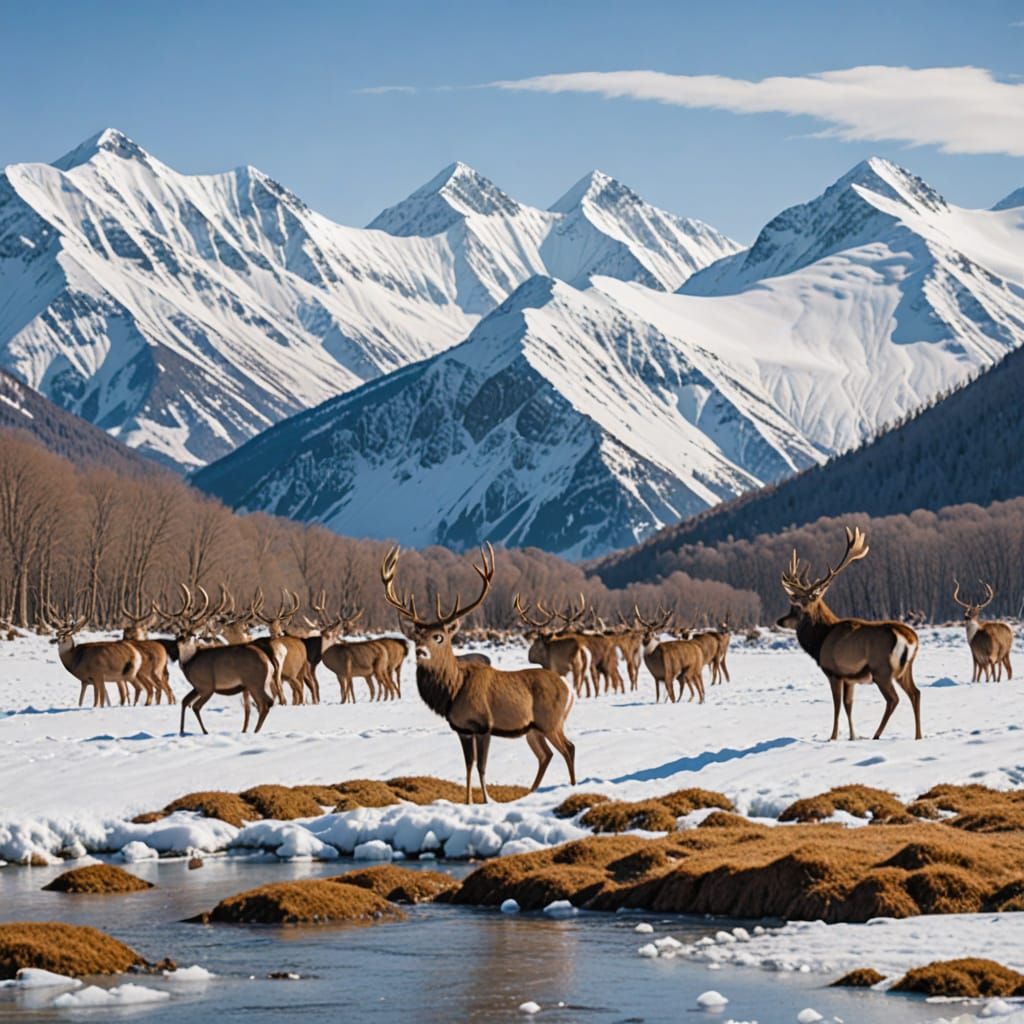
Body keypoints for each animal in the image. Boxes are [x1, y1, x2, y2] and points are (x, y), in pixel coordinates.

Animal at [156, 584, 276, 735]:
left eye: (192, 634)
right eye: (180, 631)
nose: (182, 638)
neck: (190, 660)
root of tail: (268, 662)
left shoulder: (206, 686)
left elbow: (195, 706)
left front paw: (205, 731)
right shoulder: (197, 687)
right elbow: (184, 701)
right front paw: (182, 731)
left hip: (254, 683)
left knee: (265, 704)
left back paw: (255, 731)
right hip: (257, 684)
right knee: (264, 704)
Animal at [382, 543, 576, 804]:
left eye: (439, 637)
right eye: (416, 637)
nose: (421, 651)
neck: (454, 691)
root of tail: (568, 688)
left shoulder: (485, 724)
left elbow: (482, 767)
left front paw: (485, 800)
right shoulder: (463, 730)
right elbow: (468, 766)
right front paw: (468, 801)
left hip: (551, 720)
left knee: (568, 748)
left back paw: (572, 788)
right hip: (534, 728)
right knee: (546, 755)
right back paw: (531, 793)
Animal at [778, 526, 922, 741]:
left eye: (796, 606)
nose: (780, 621)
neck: (820, 641)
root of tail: (911, 638)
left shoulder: (833, 672)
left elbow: (837, 706)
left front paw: (833, 737)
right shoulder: (850, 677)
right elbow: (849, 705)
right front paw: (853, 736)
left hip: (881, 669)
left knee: (893, 699)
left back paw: (877, 734)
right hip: (905, 669)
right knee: (916, 693)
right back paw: (918, 735)